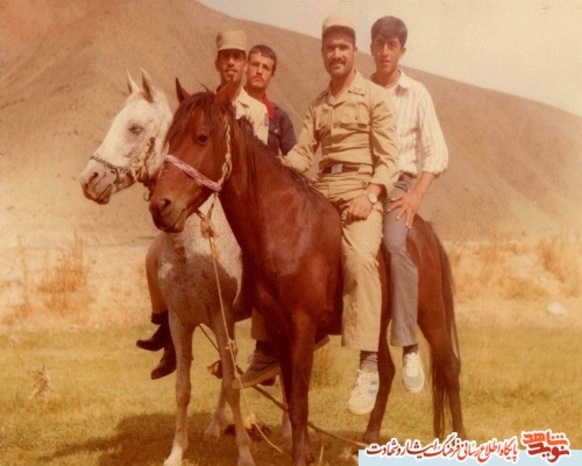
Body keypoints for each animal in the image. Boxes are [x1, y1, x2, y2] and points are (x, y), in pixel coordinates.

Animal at [79, 70, 258, 466]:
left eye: (134, 127)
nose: (89, 180)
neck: (192, 247)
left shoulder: (221, 317)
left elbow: (233, 385)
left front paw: (244, 453)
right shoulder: (180, 321)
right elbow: (183, 388)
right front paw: (177, 451)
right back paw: (213, 427)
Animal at [149, 83, 466, 466]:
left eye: (201, 137)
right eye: (169, 139)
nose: (160, 206)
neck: (286, 228)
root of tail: (423, 229)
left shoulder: (301, 327)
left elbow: (299, 401)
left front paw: (301, 455)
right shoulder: (277, 329)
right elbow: (291, 396)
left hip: (431, 315)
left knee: (449, 367)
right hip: (374, 319)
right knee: (387, 372)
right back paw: (368, 441)